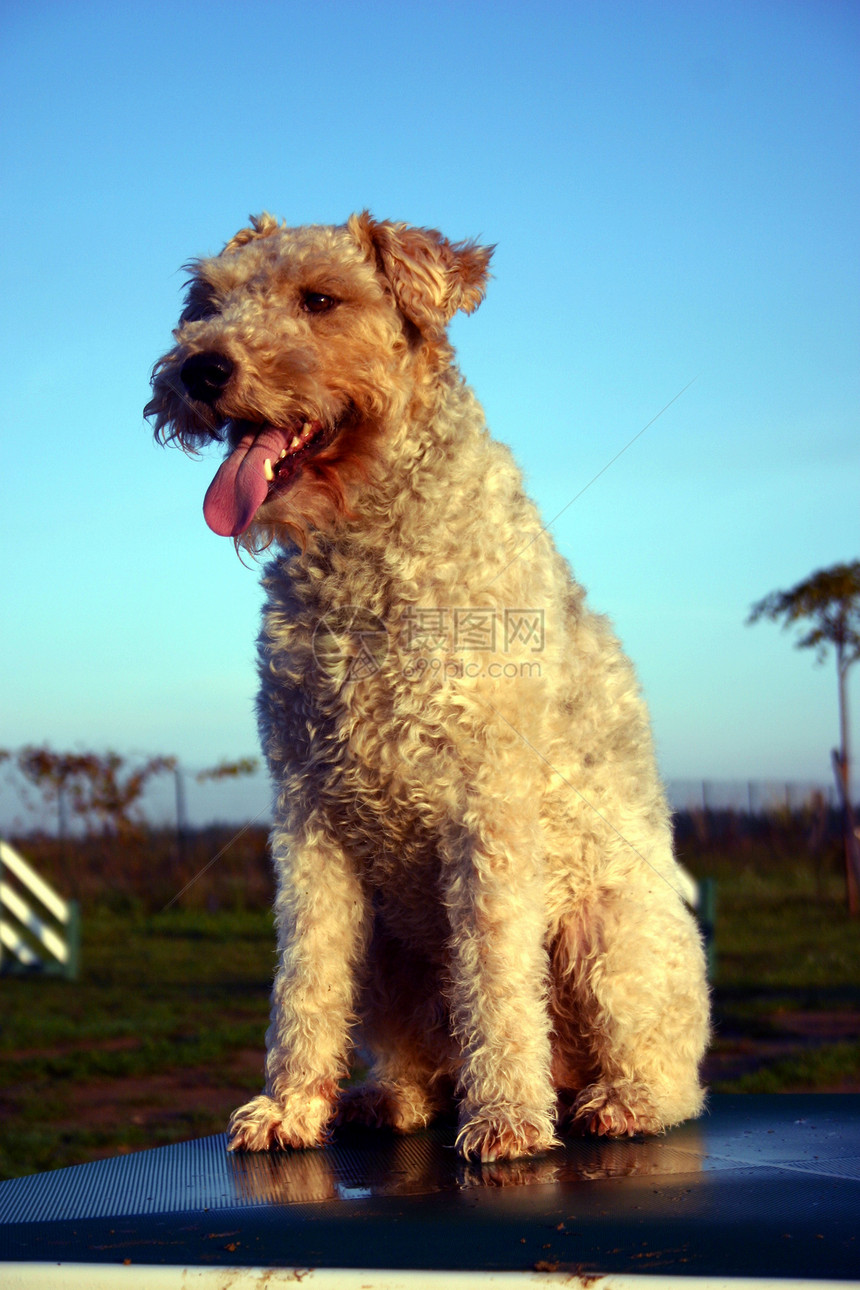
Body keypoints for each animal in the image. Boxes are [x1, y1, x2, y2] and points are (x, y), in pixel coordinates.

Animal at [146, 211, 711, 1161]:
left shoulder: (487, 802)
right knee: (415, 1054)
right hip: (392, 946)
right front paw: (288, 1107)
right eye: (205, 302)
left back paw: (609, 1101)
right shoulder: (307, 806)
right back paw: (390, 1098)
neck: (366, 548)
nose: (199, 371)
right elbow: (304, 976)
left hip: (611, 938)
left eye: (320, 299)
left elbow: (496, 973)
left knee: (669, 1073)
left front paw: (508, 1118)